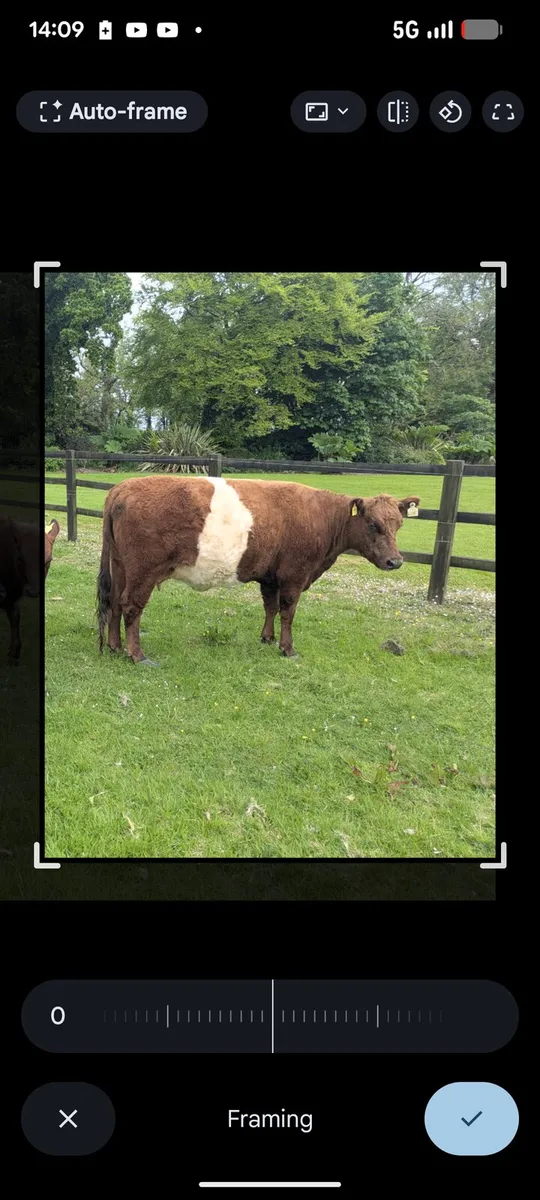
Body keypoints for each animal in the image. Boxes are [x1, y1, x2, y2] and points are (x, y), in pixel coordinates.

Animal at [97, 476, 420, 665]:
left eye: (399, 524)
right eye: (373, 525)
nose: (395, 561)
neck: (323, 518)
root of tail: (123, 487)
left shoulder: (271, 576)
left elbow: (270, 606)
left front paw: (267, 638)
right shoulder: (294, 574)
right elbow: (288, 611)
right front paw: (288, 649)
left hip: (120, 565)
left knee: (113, 602)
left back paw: (114, 646)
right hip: (143, 570)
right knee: (131, 606)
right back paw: (137, 655)